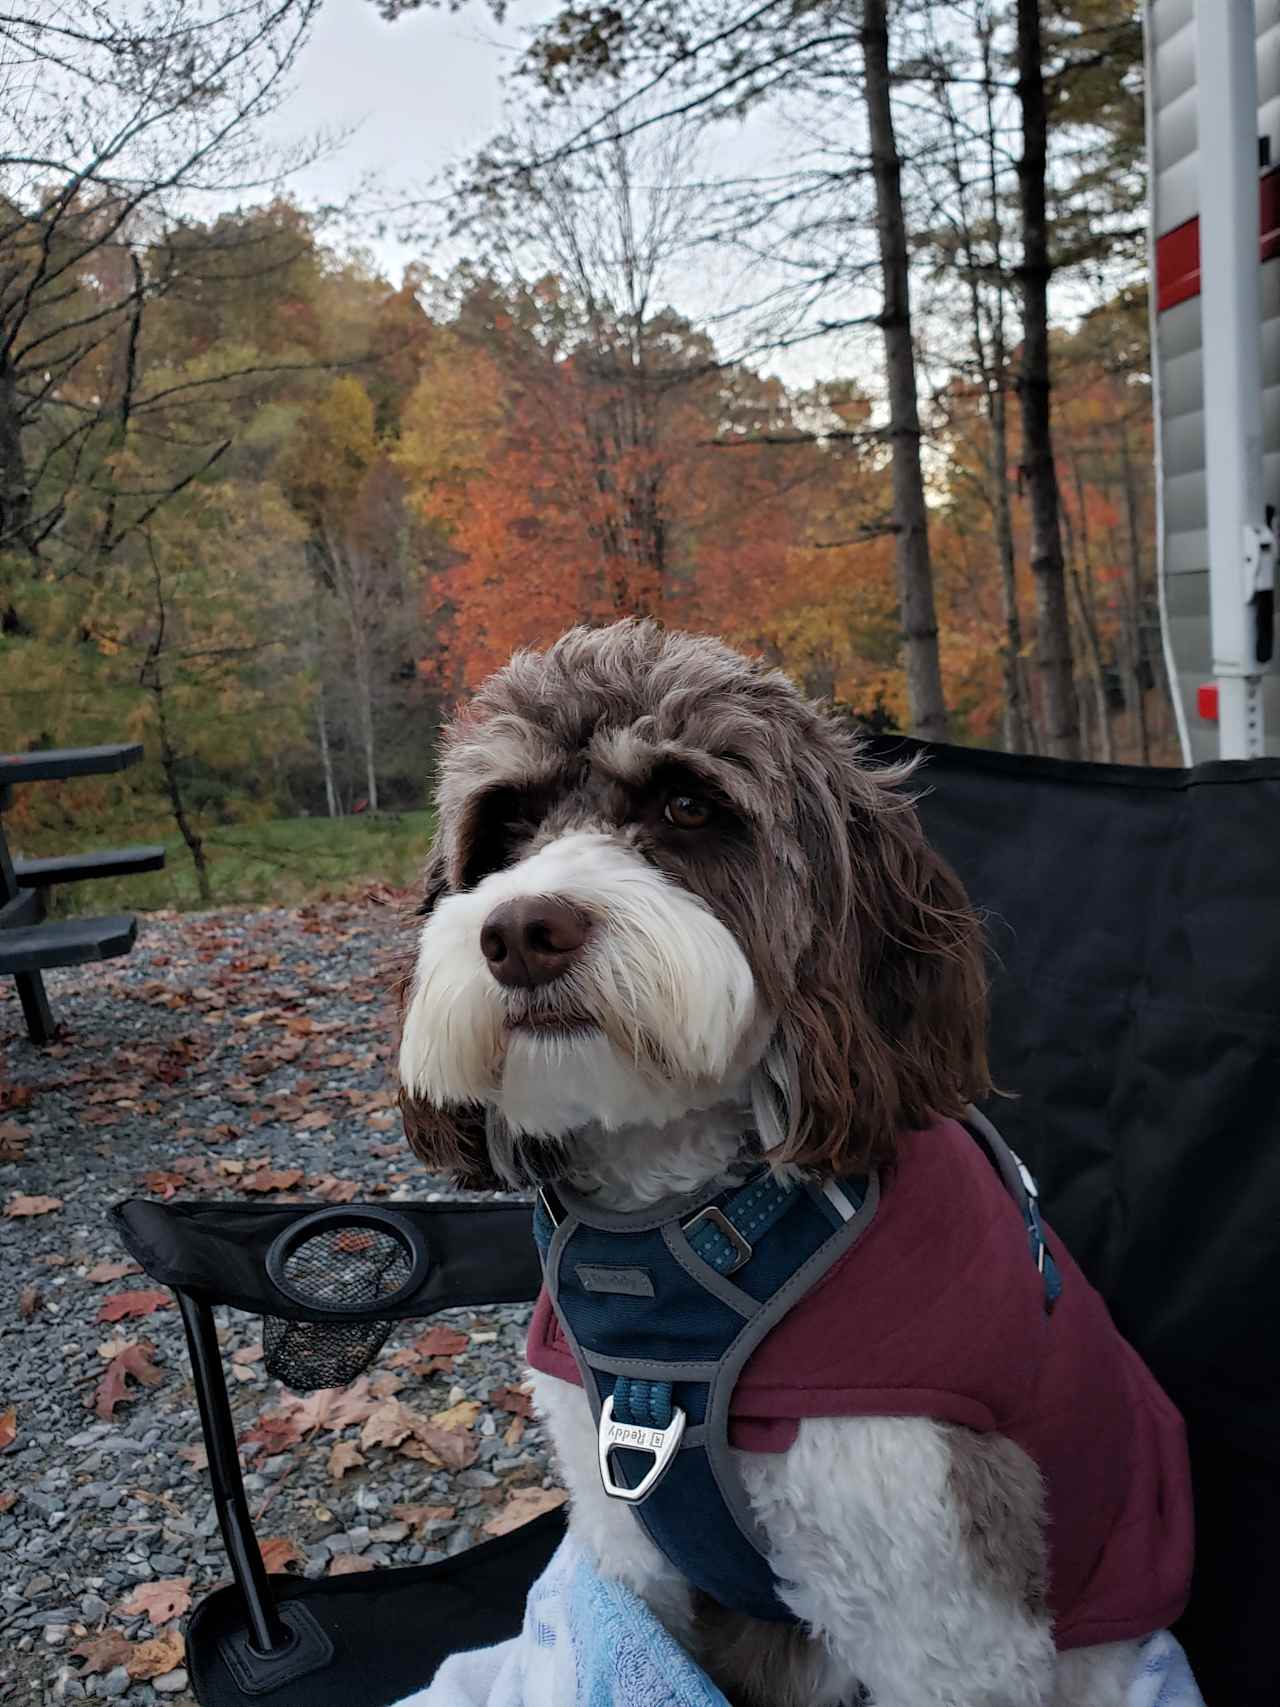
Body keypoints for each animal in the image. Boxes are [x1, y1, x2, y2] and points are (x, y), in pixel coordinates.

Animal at [399, 624, 1194, 1707]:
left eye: (688, 806)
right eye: (508, 820)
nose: (521, 931)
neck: (689, 1224)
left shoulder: (931, 1569)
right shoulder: (623, 1541)